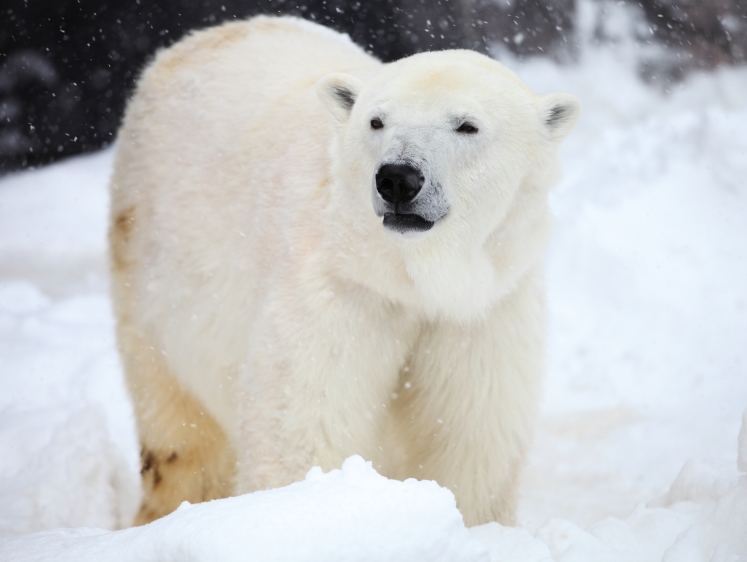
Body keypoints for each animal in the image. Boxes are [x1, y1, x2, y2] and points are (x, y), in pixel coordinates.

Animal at [109, 15, 580, 528]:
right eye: (377, 120)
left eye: (467, 125)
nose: (398, 178)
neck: (410, 276)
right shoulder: (338, 290)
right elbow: (307, 423)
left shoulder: (482, 310)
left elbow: (471, 431)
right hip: (150, 255)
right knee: (178, 430)